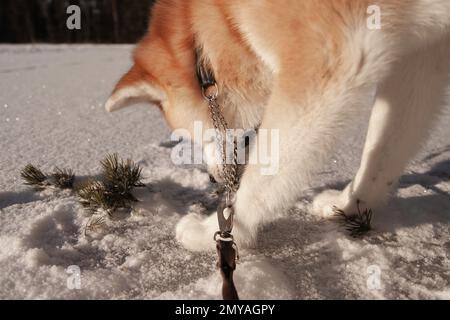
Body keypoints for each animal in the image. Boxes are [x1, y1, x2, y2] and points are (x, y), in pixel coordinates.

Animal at [104, 0, 450, 252]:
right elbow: (382, 152)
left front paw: (214, 232)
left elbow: (261, 179)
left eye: (200, 138)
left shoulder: (328, 59)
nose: (213, 178)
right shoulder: (421, 56)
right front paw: (349, 204)